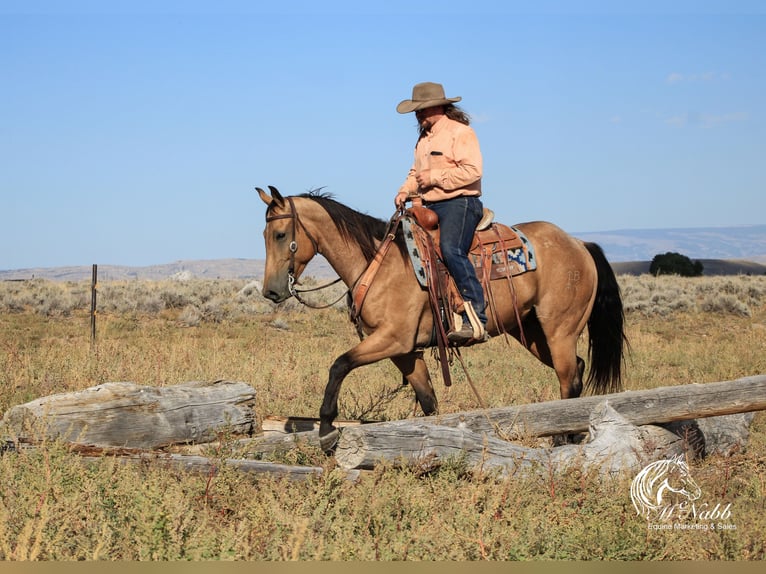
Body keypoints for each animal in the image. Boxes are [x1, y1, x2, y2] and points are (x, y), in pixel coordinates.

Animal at [258, 187, 632, 452]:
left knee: (568, 378)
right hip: (533, 333)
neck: (379, 263)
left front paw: (325, 431)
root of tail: (579, 244)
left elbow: (339, 365)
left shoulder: (392, 338)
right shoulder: (405, 352)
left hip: (559, 329)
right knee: (576, 370)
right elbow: (429, 402)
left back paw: (561, 438)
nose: (271, 291)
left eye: (280, 235)